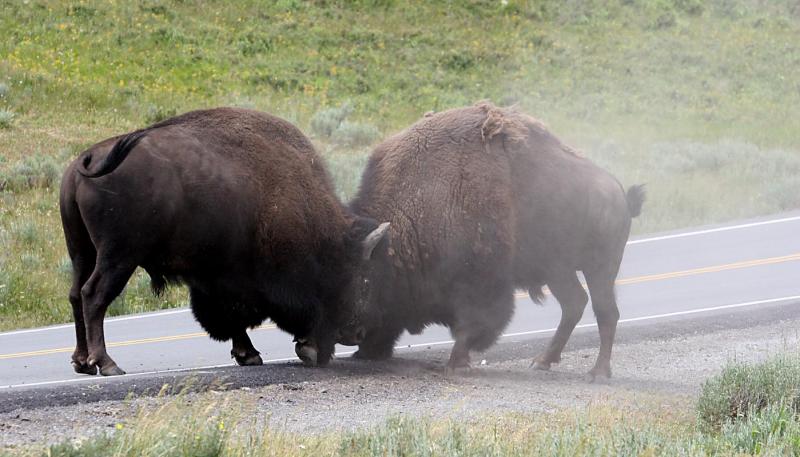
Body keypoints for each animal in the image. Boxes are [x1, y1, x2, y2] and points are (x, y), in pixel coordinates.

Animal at [59, 107, 388, 374]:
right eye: (363, 280)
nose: (357, 334)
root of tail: (86, 160)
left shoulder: (212, 277)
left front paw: (248, 355)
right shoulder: (235, 278)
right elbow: (236, 314)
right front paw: (264, 353)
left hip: (83, 252)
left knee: (75, 294)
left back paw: (81, 362)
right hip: (119, 256)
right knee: (94, 295)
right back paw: (106, 363)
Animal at [344, 101, 644, 380]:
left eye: (365, 281)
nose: (351, 335)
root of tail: (619, 193)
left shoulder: (481, 286)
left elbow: (472, 326)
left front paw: (456, 364)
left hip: (600, 269)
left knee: (605, 311)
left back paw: (598, 372)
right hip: (558, 271)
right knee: (575, 304)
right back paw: (542, 361)